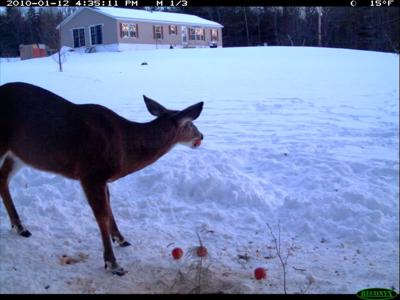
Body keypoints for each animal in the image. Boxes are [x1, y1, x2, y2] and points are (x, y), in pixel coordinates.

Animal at [0, 81, 205, 274]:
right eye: (191, 124)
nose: (201, 136)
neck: (125, 147)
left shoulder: (103, 178)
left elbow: (109, 206)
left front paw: (121, 239)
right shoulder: (91, 174)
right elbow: (102, 215)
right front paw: (113, 264)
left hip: (20, 154)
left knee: (3, 178)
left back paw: (20, 227)